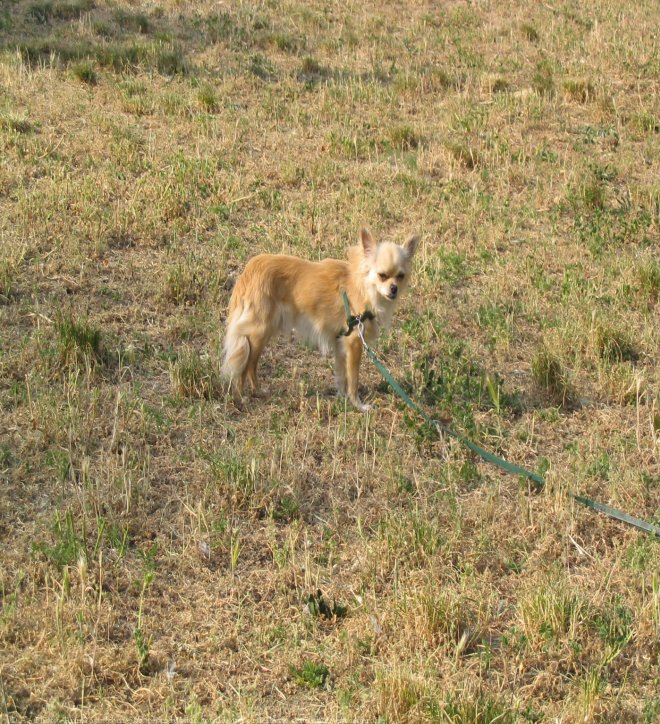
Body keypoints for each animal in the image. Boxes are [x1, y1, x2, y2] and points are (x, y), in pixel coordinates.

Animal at [220, 229, 418, 410]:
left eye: (400, 276)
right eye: (382, 275)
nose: (394, 289)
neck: (363, 288)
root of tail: (249, 271)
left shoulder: (340, 343)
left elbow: (341, 375)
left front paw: (342, 397)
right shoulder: (355, 343)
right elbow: (353, 379)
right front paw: (358, 405)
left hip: (264, 332)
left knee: (251, 365)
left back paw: (258, 392)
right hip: (258, 332)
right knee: (245, 365)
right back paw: (242, 397)